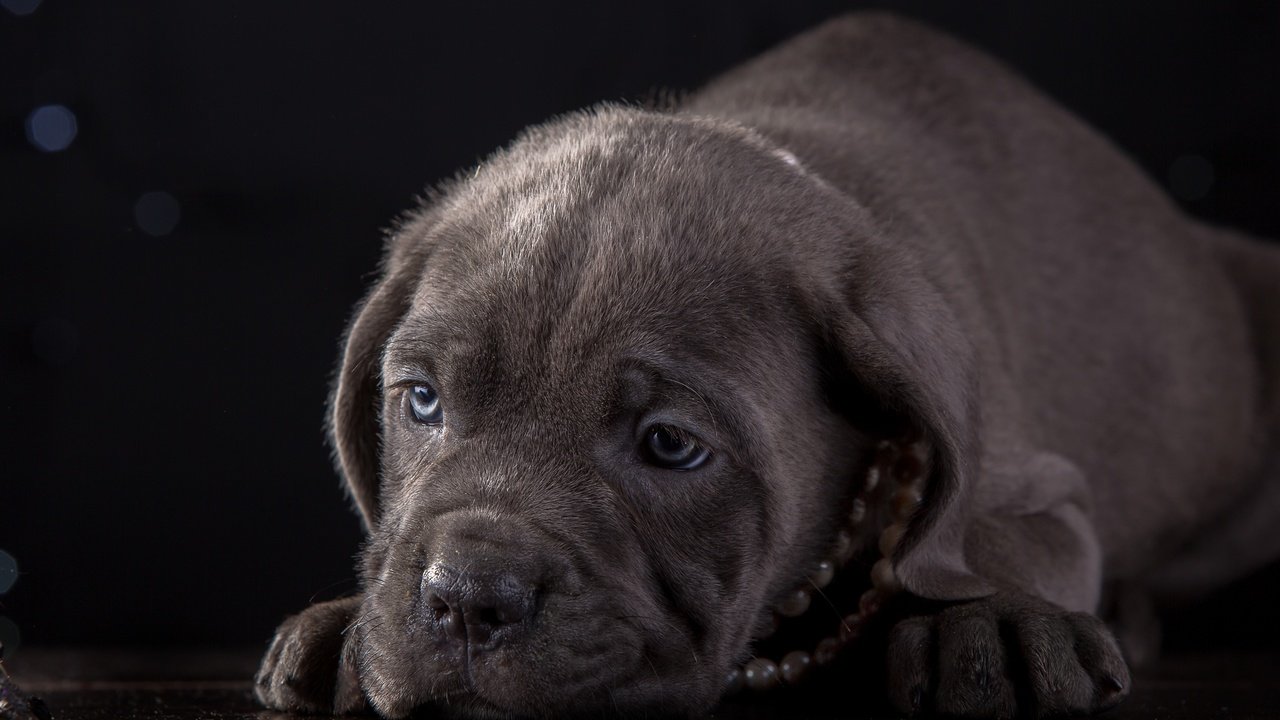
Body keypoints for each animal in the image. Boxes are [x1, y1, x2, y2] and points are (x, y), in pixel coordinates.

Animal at [252, 12, 1280, 717]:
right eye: (422, 401)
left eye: (670, 446)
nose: (467, 598)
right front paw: (348, 621)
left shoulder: (1039, 484)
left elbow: (989, 542)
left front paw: (1000, 622)